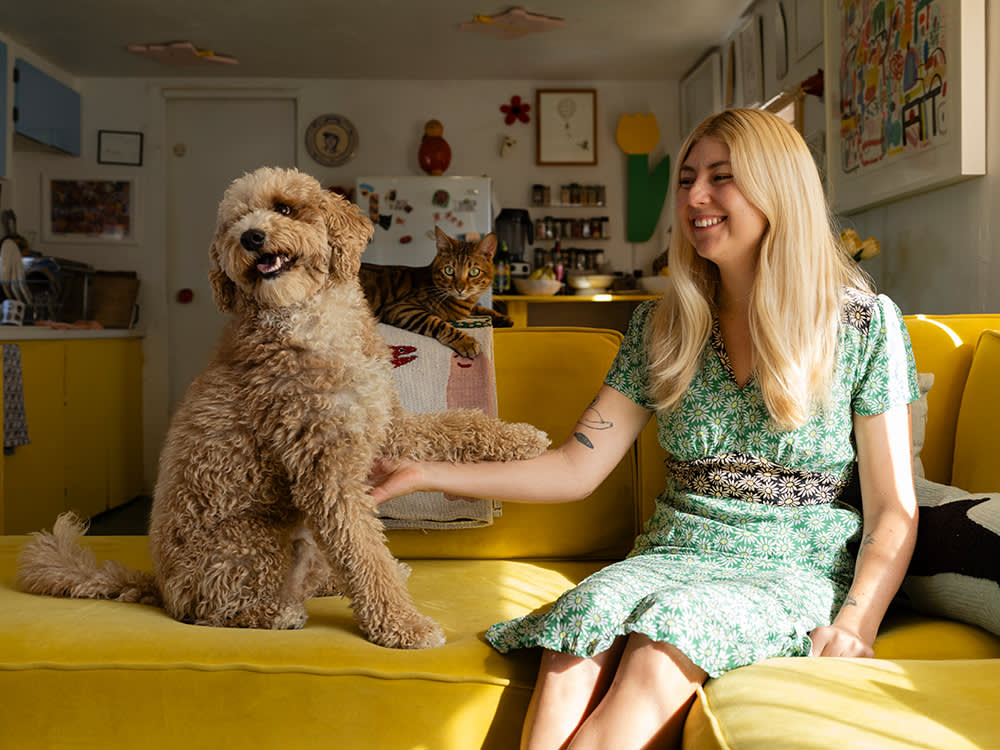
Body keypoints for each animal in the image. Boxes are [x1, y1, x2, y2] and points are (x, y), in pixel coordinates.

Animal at [360, 226, 512, 358]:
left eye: (474, 272)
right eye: (449, 270)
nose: (460, 288)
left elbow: (480, 308)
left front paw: (502, 317)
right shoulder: (399, 308)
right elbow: (437, 322)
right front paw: (465, 341)